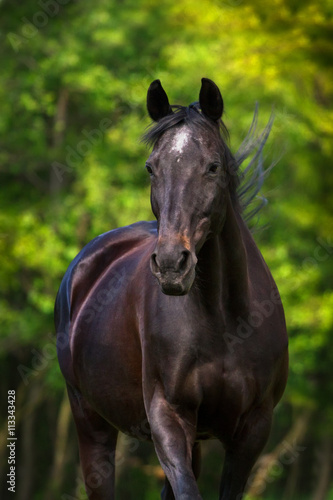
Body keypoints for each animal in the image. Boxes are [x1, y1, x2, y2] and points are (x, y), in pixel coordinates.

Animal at [55, 79, 288, 500]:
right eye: (151, 167)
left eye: (213, 167)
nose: (170, 265)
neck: (225, 322)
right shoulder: (169, 417)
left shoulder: (253, 429)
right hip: (90, 421)